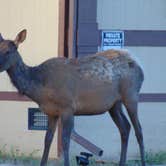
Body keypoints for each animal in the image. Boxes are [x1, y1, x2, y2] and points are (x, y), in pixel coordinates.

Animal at [0, 30, 145, 166]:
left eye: (8, 51)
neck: (41, 89)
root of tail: (139, 66)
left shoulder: (68, 107)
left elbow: (65, 140)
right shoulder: (51, 112)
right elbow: (47, 139)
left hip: (131, 95)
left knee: (138, 130)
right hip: (114, 105)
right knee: (125, 128)